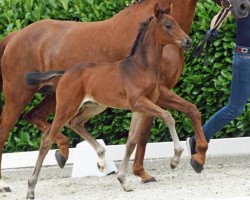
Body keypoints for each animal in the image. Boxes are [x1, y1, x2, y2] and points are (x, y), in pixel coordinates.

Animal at [25, 5, 191, 198]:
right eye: (168, 26)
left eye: (177, 23)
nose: (188, 41)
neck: (142, 67)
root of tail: (65, 73)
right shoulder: (139, 102)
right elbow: (168, 116)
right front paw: (175, 160)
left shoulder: (140, 108)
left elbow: (131, 142)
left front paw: (123, 181)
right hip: (66, 107)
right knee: (47, 139)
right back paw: (30, 188)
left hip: (95, 106)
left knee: (76, 123)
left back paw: (102, 160)